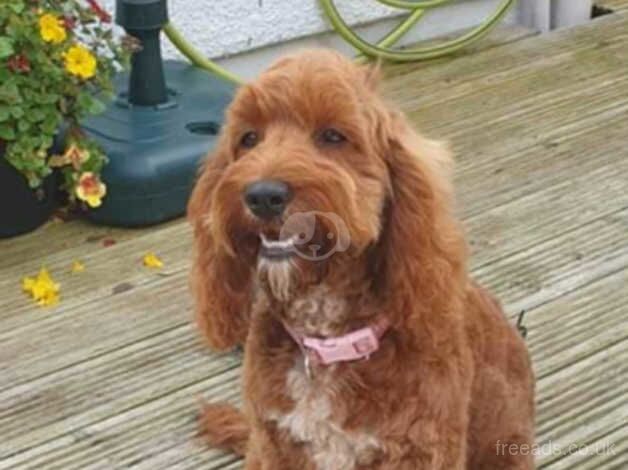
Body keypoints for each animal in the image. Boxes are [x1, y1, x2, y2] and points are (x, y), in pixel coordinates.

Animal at [186, 49, 536, 468]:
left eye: (333, 136)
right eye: (249, 139)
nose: (262, 195)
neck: (327, 344)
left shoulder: (423, 449)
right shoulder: (274, 443)